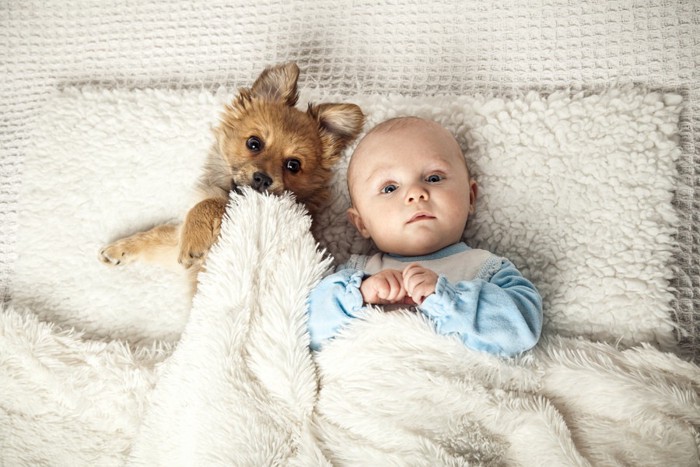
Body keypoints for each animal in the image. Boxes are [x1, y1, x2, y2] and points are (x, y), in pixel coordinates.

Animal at [100, 62, 366, 288]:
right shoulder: (173, 243)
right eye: (254, 143)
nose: (263, 178)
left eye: (293, 165)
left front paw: (193, 240)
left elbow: (207, 205)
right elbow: (156, 235)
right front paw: (119, 249)